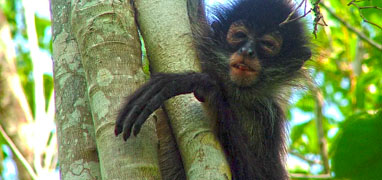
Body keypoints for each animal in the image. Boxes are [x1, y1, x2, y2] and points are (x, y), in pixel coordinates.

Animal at [114, 0, 310, 179]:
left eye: (267, 45)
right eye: (240, 35)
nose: (247, 51)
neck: (231, 90)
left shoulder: (269, 119)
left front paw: (201, 85)